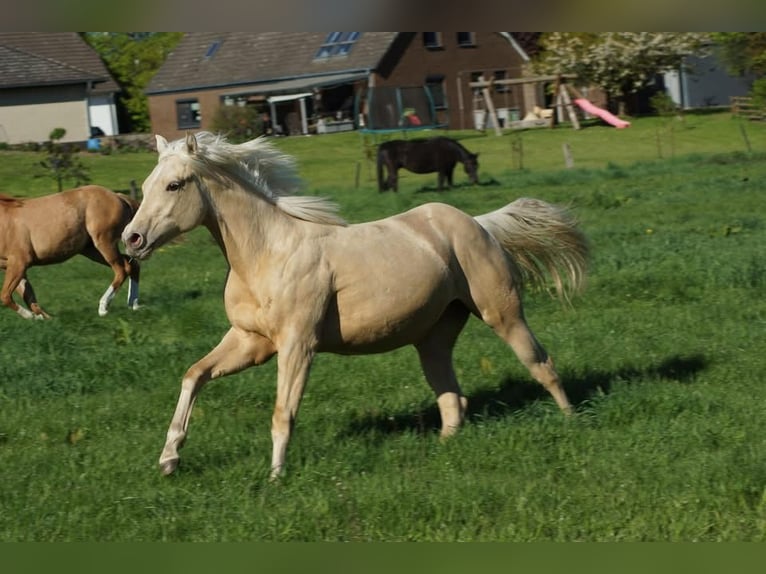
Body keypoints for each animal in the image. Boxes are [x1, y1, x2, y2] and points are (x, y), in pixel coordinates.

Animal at [0, 185, 141, 319]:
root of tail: (118, 197)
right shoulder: (11, 266)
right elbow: (28, 297)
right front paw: (44, 318)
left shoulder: (20, 262)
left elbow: (5, 295)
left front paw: (30, 316)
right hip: (92, 251)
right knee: (132, 265)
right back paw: (133, 305)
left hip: (105, 243)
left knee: (121, 270)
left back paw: (103, 308)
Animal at [122, 131, 588, 479]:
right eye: (144, 186)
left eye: (175, 185)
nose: (132, 239)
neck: (268, 255)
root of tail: (478, 224)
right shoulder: (250, 342)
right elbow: (194, 375)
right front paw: (169, 459)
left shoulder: (298, 345)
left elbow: (283, 411)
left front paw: (275, 475)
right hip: (434, 336)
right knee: (452, 398)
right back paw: (443, 449)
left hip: (501, 313)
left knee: (540, 363)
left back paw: (571, 423)